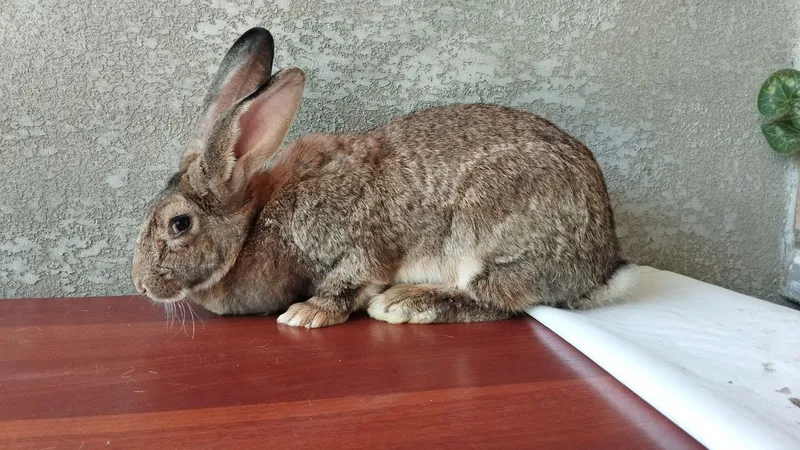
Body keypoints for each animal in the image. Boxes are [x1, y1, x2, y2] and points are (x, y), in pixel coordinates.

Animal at [131, 27, 638, 328]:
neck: (253, 225)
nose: (140, 287)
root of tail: (599, 266)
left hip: (487, 231)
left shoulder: (354, 241)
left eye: (179, 224)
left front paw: (305, 314)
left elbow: (350, 280)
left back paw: (405, 303)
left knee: (500, 297)